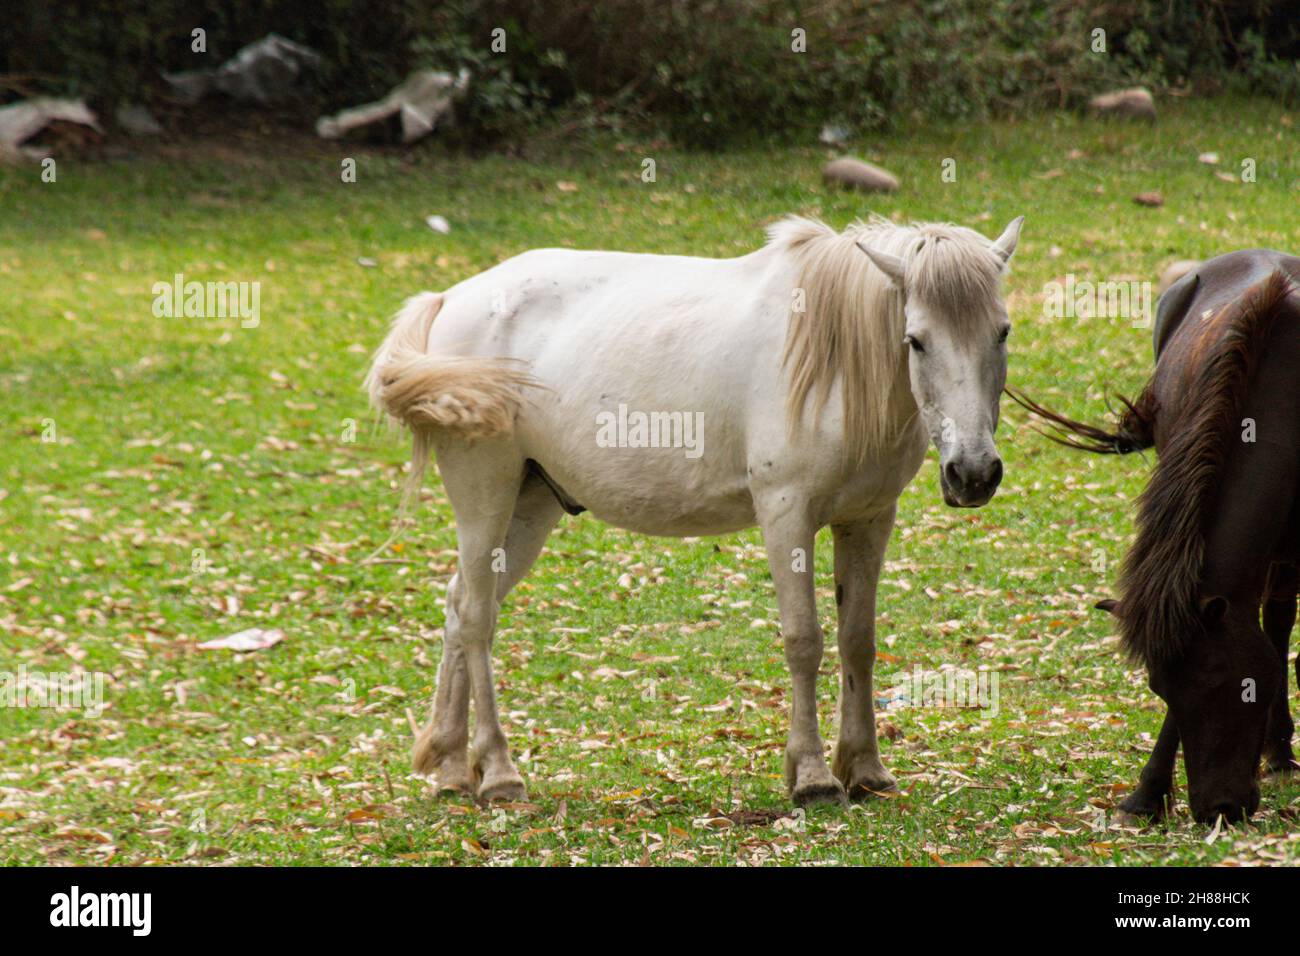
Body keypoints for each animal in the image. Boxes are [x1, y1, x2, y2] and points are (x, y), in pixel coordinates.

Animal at [367, 213, 1024, 806]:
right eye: (916, 340)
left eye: (1002, 332)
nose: (973, 473)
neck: (834, 359)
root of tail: (451, 299)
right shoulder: (785, 515)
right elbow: (804, 640)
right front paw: (812, 778)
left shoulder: (868, 519)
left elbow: (857, 639)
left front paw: (865, 769)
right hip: (485, 494)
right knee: (478, 617)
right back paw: (500, 774)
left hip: (529, 509)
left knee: (460, 607)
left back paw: (453, 769)